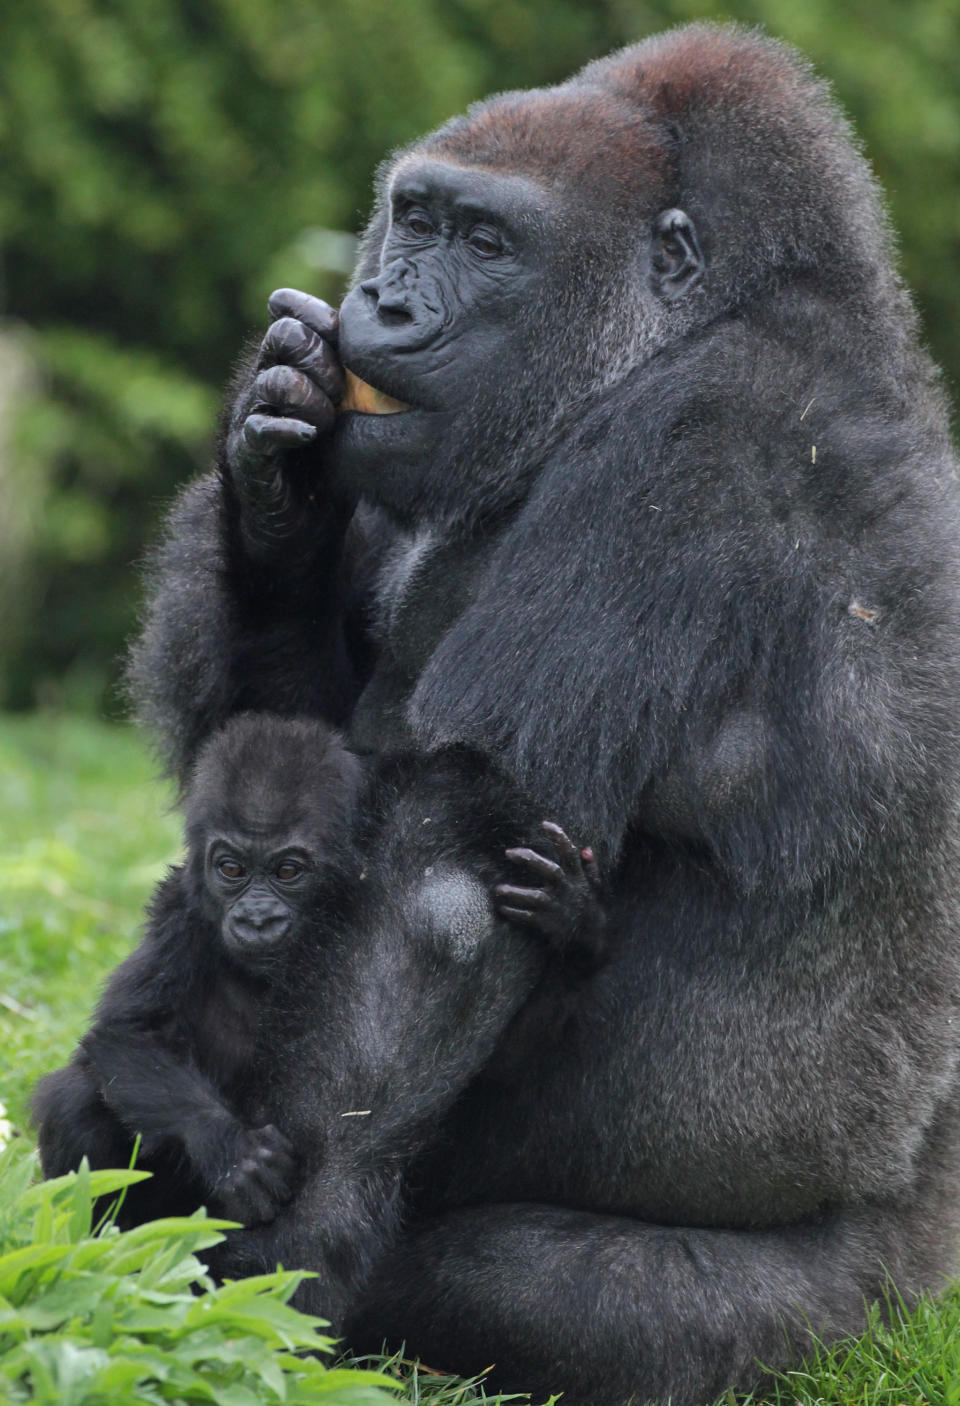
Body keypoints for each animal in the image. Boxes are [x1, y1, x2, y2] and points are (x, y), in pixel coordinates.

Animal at [35, 714, 607, 1231]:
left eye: (288, 871)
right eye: (231, 869)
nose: (257, 918)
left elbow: (506, 1059)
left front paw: (573, 920)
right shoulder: (180, 914)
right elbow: (127, 1034)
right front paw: (232, 1149)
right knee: (76, 1100)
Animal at [131, 24, 960, 1406]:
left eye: (487, 243)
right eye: (415, 215)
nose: (385, 306)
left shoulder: (695, 440)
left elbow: (445, 887)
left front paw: (260, 1288)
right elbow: (285, 782)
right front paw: (276, 480)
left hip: (864, 1312)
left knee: (546, 1298)